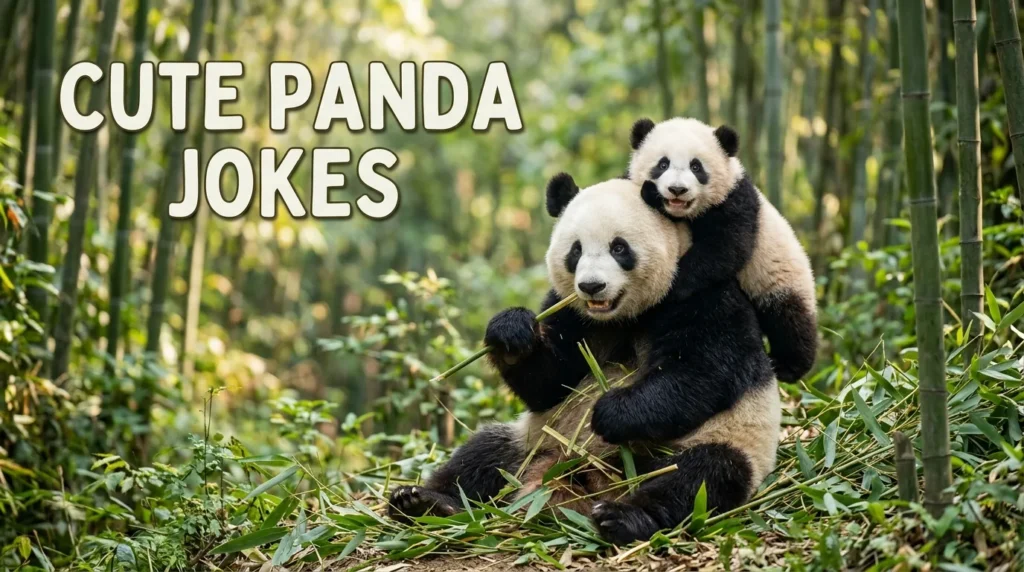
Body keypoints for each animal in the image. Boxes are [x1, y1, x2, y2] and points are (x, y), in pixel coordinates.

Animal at [388, 177, 781, 545]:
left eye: (619, 248)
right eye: (575, 251)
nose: (591, 286)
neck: (621, 317)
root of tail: (583, 481)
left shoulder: (702, 294)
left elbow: (700, 373)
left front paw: (611, 413)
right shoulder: (569, 312)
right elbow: (549, 383)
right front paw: (511, 333)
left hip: (715, 442)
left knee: (696, 478)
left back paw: (623, 518)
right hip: (534, 441)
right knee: (482, 456)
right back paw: (424, 502)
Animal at [627, 117, 818, 383]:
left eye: (696, 167)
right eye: (662, 164)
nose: (677, 190)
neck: (685, 213)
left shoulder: (735, 201)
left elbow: (724, 249)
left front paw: (670, 290)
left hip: (781, 277)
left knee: (790, 319)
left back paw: (788, 366)